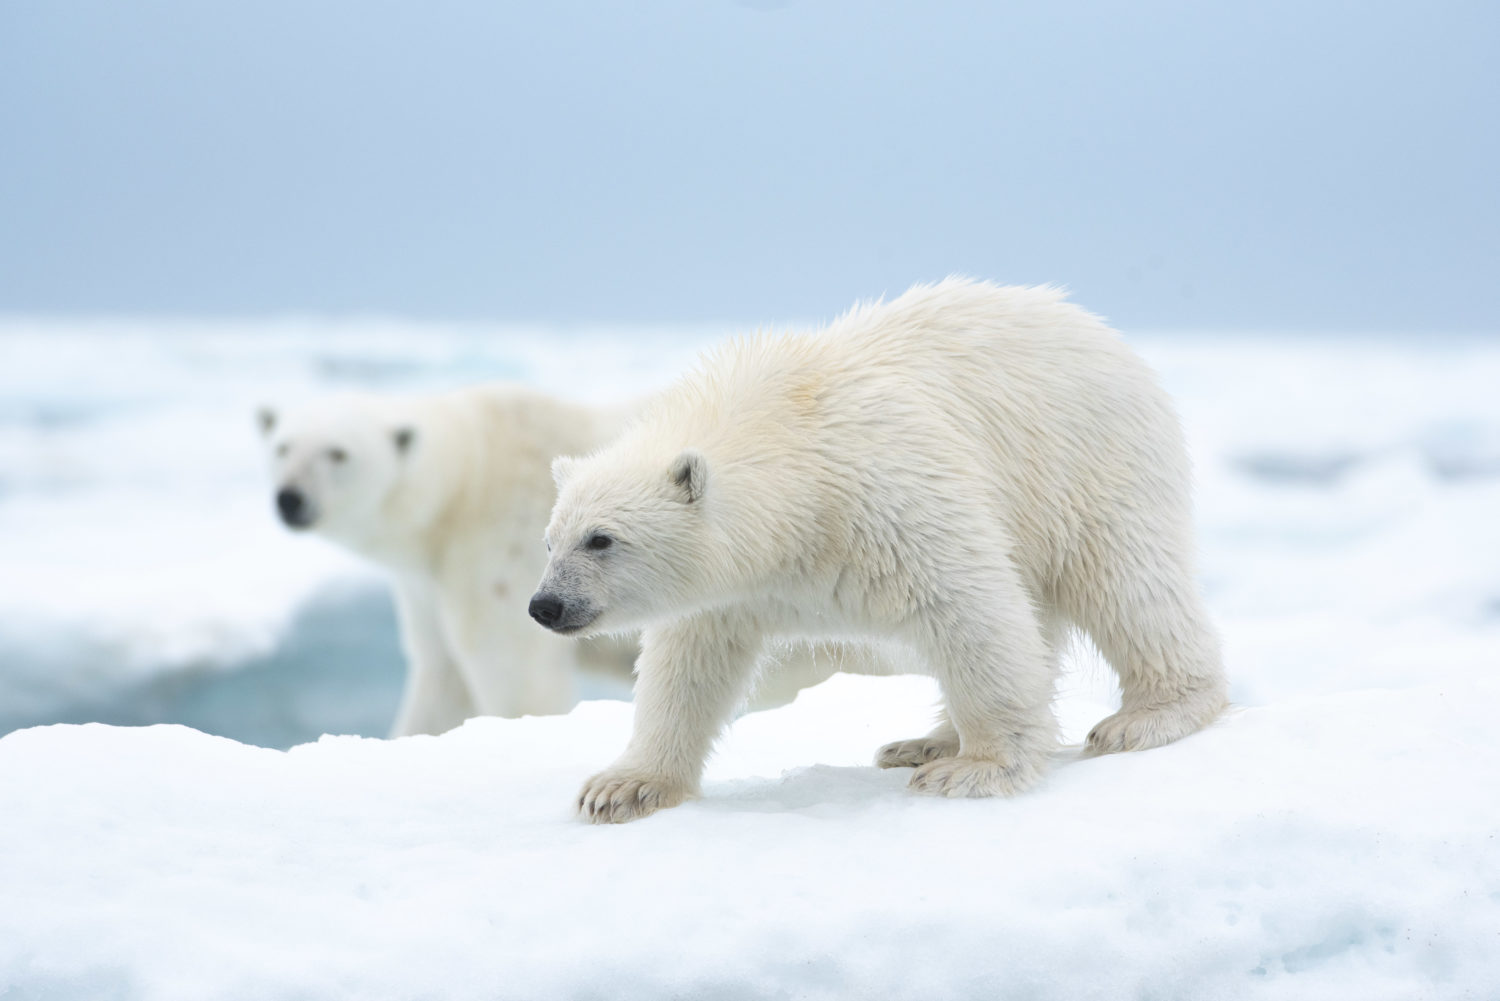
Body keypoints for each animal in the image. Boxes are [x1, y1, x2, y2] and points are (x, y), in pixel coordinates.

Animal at [261, 384, 636, 735]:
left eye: (338, 453)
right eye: (282, 447)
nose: (290, 498)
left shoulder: (502, 554)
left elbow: (515, 676)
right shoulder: (429, 586)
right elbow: (443, 679)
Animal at [534, 276, 1224, 822]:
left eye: (601, 539)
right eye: (549, 539)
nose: (546, 606)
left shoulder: (888, 498)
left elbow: (970, 609)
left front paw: (977, 769)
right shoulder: (735, 588)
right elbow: (688, 665)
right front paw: (622, 788)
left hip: (1087, 465)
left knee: (1124, 581)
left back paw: (1148, 716)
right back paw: (923, 741)